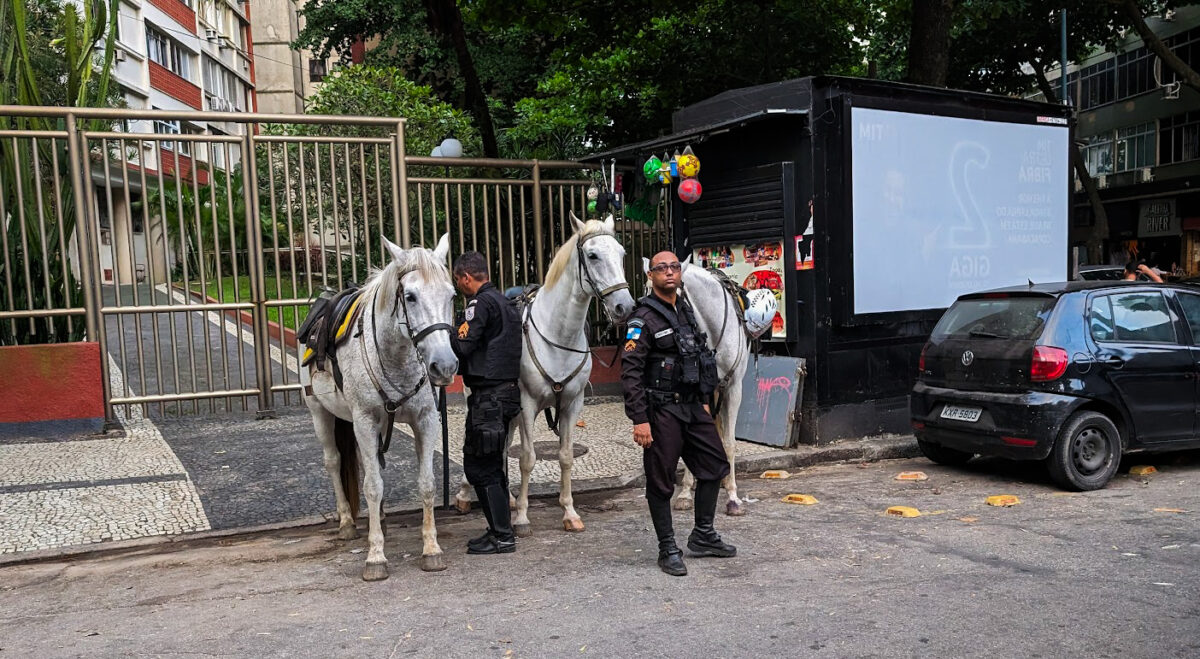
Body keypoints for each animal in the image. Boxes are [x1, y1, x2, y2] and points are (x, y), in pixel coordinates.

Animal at [304, 234, 458, 578]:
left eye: (452, 295)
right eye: (410, 296)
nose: (444, 365)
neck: (395, 355)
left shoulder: (425, 420)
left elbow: (427, 484)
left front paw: (432, 549)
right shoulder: (363, 419)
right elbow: (373, 485)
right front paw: (375, 556)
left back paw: (383, 520)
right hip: (320, 411)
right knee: (333, 461)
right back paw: (348, 522)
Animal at [451, 213, 638, 532]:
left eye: (622, 254)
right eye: (593, 255)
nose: (623, 307)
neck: (559, 336)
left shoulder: (572, 404)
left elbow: (565, 456)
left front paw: (569, 512)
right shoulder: (527, 404)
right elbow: (528, 457)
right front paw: (523, 517)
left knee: (504, 444)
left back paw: (508, 498)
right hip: (479, 402)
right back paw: (466, 496)